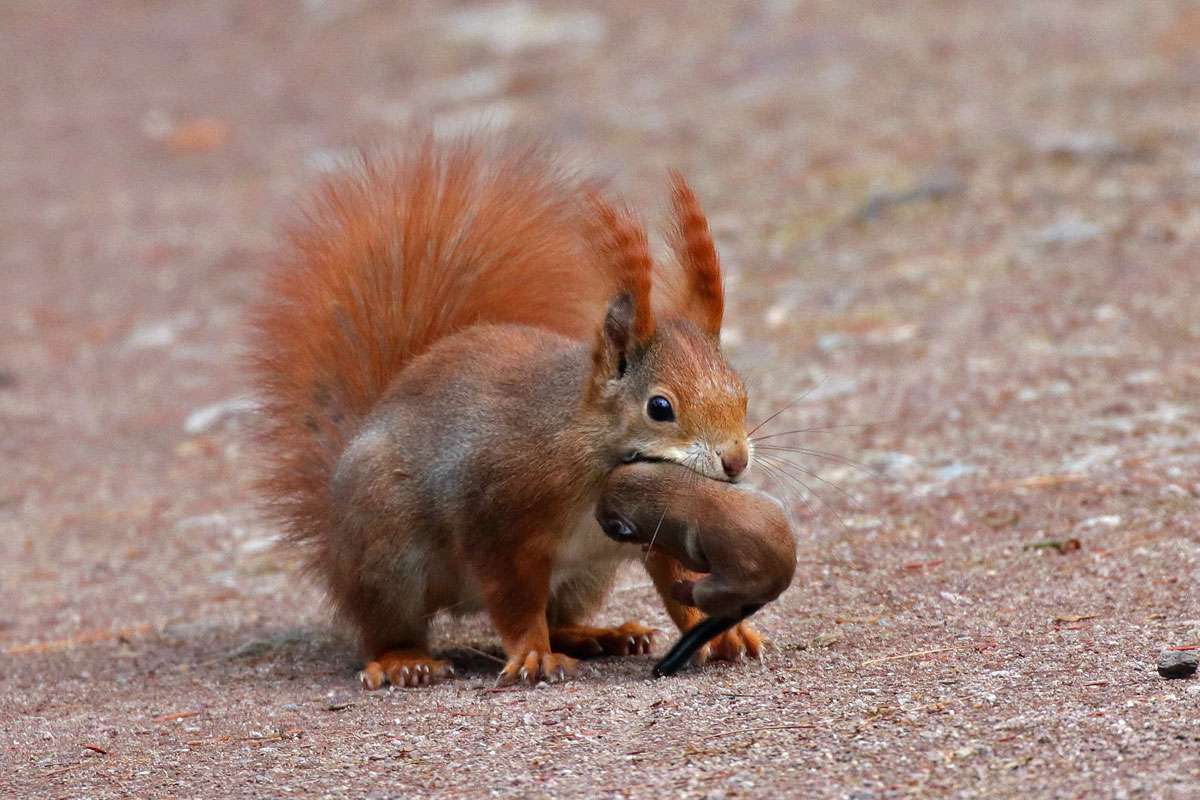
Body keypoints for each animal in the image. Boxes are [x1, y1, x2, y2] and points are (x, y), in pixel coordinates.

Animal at [249, 133, 758, 690]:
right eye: (659, 407)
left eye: (742, 391)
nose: (736, 461)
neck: (588, 448)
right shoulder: (496, 517)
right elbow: (514, 601)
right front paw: (532, 655)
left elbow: (679, 582)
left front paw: (725, 633)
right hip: (385, 549)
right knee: (385, 626)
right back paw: (403, 660)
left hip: (583, 576)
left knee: (561, 618)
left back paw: (599, 635)